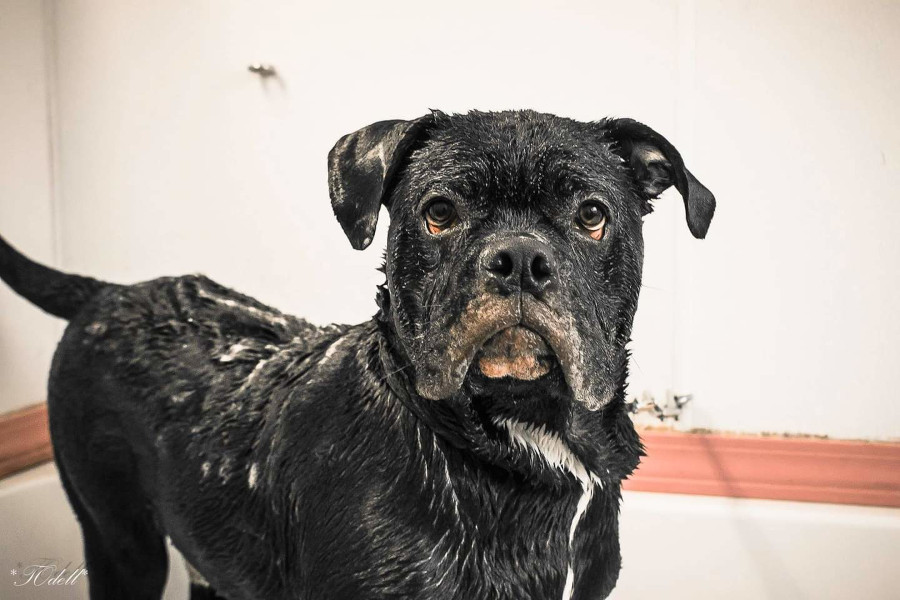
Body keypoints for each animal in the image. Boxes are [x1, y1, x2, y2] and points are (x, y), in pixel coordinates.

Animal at [1, 110, 716, 596]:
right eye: (438, 212)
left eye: (592, 215)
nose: (518, 259)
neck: (522, 441)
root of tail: (107, 292)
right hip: (121, 541)